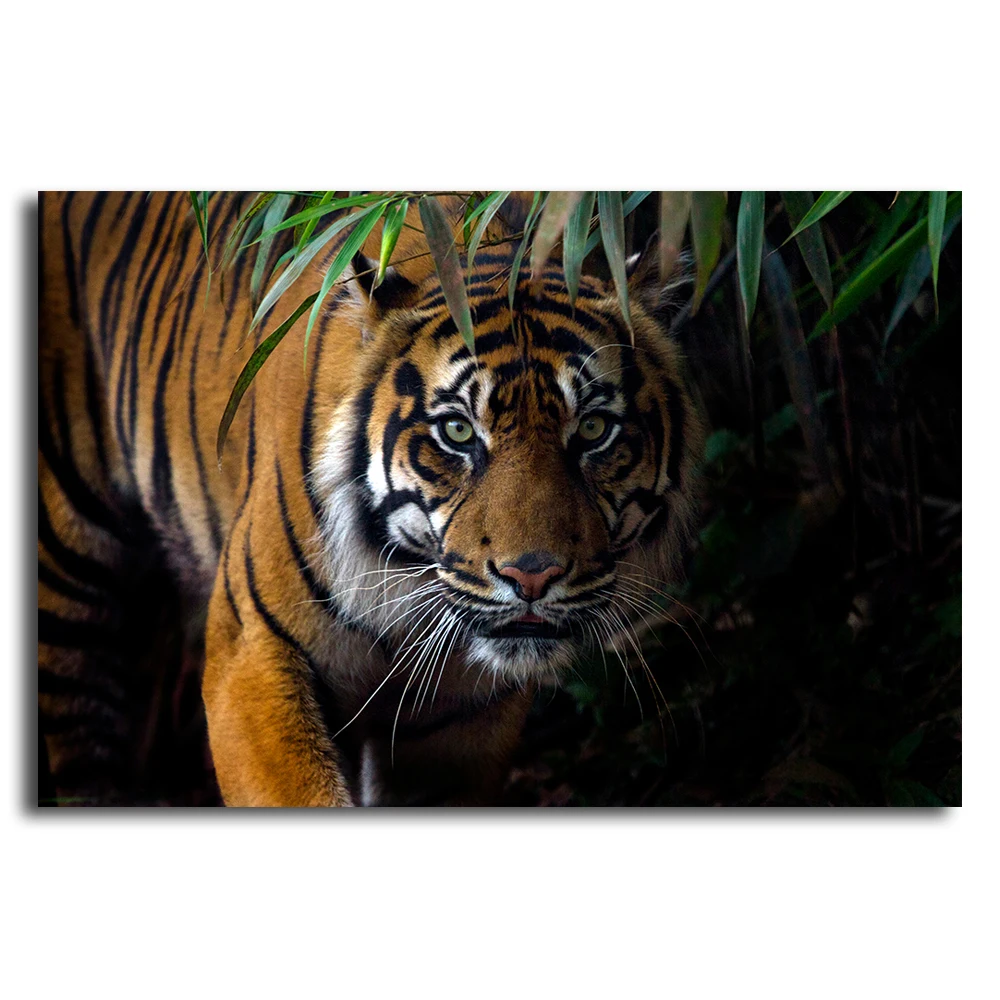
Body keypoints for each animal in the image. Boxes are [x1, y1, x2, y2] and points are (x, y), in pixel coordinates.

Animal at [38, 191, 703, 806]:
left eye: (592, 430)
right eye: (457, 431)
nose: (532, 577)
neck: (407, 582)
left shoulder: (458, 720)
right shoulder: (250, 652)